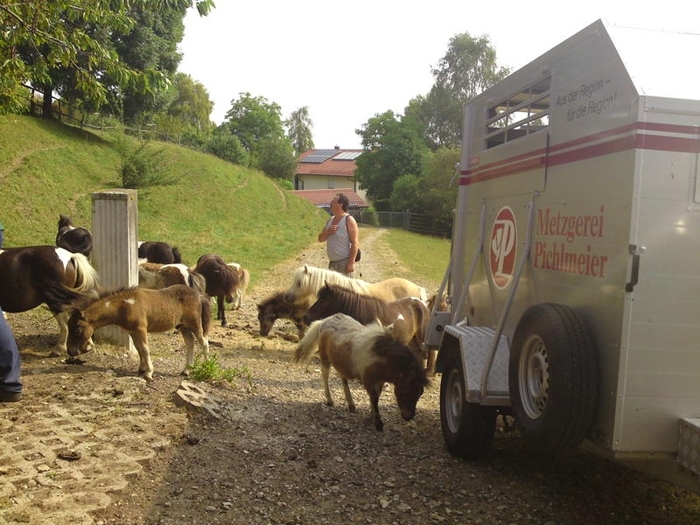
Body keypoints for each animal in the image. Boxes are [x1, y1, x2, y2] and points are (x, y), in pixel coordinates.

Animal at [68, 284, 211, 378]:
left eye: (77, 330)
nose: (70, 351)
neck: (124, 306)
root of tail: (199, 295)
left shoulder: (141, 329)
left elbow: (145, 349)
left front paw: (149, 372)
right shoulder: (133, 331)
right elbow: (139, 349)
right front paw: (141, 369)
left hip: (194, 324)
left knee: (204, 342)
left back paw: (207, 365)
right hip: (183, 326)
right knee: (190, 343)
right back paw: (186, 370)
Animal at [294, 312, 430, 430]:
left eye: (420, 393)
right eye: (406, 392)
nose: (408, 417)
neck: (381, 355)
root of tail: (324, 321)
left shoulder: (380, 381)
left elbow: (376, 396)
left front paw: (371, 416)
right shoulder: (368, 381)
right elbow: (374, 398)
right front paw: (377, 422)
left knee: (343, 378)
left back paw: (351, 404)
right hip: (325, 358)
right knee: (325, 375)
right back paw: (330, 400)